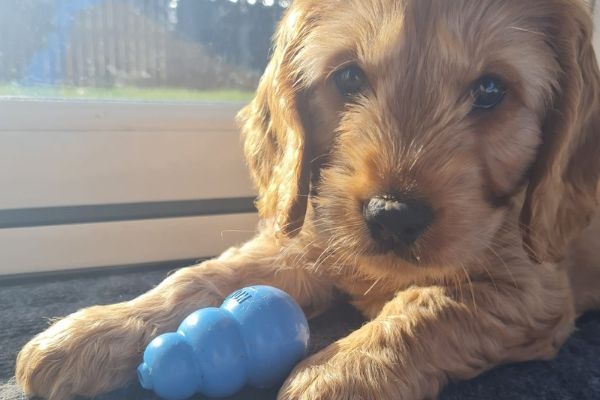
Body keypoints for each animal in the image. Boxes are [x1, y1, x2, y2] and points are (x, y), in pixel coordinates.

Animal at [15, 0, 600, 400]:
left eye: (491, 91)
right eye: (348, 77)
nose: (393, 217)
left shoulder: (531, 289)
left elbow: (429, 306)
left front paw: (337, 372)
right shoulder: (308, 235)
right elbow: (202, 276)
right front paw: (95, 329)